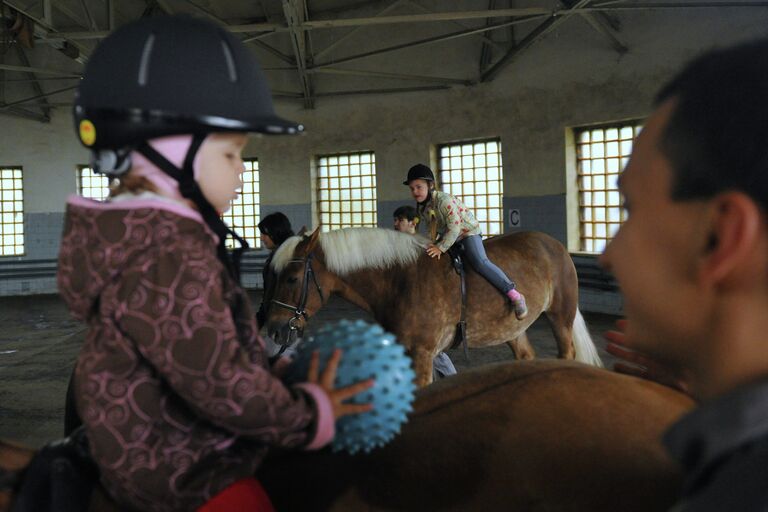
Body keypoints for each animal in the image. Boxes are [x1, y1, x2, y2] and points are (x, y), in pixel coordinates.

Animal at [268, 228, 604, 384]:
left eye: (292, 278)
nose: (274, 329)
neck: (398, 279)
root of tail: (555, 245)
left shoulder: (422, 353)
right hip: (513, 329)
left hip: (560, 317)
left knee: (566, 352)